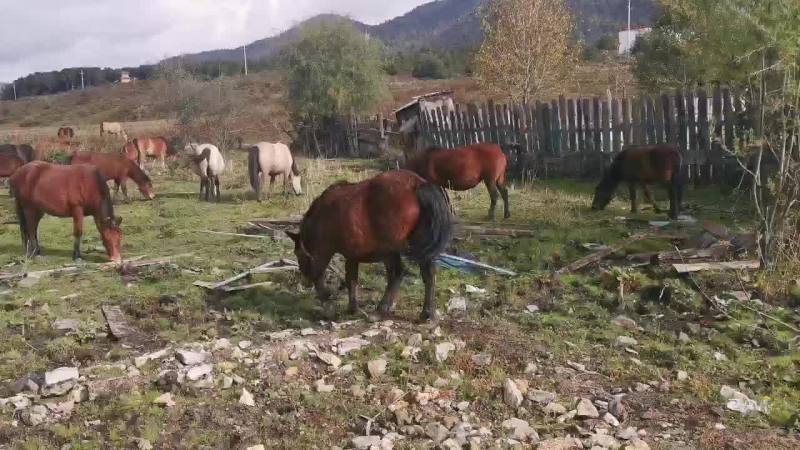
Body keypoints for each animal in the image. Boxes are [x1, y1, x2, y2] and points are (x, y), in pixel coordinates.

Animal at [286, 170, 453, 322]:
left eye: (298, 254)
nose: (306, 280)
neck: (326, 217)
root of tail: (418, 184)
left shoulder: (345, 254)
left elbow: (349, 279)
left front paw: (348, 309)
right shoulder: (353, 255)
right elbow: (352, 280)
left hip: (391, 249)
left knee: (397, 274)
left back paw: (382, 309)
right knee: (428, 274)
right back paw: (427, 314)